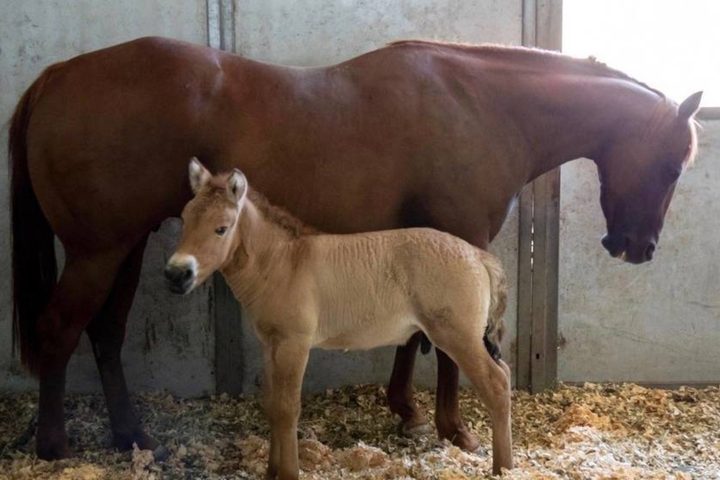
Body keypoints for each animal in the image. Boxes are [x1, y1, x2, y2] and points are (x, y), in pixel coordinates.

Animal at [165, 159, 512, 477]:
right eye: (184, 220)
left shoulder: (294, 344)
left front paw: (288, 472)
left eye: (221, 228)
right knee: (504, 374)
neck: (283, 263)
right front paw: (271, 471)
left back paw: (504, 467)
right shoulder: (270, 345)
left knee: (496, 384)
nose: (176, 274)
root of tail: (478, 256)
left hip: (458, 337)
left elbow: (288, 409)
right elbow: (273, 405)